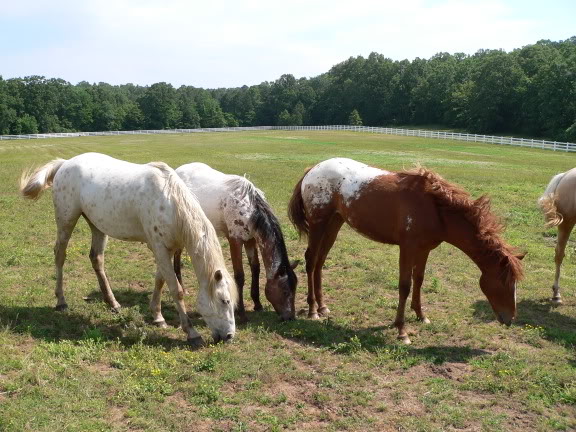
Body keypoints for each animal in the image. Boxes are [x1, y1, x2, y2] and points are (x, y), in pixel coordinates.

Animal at [20, 153, 236, 348]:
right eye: (224, 301)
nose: (229, 336)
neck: (170, 201)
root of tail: (65, 163)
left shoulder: (165, 249)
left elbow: (160, 280)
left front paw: (158, 316)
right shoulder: (160, 248)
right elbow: (176, 290)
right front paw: (192, 333)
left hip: (97, 226)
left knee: (96, 259)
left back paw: (113, 303)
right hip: (66, 221)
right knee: (60, 255)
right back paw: (61, 301)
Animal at [173, 162, 300, 320]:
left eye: (295, 288)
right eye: (285, 291)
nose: (290, 317)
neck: (249, 209)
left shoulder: (251, 240)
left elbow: (255, 268)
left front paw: (257, 304)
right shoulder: (235, 241)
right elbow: (239, 275)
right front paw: (241, 312)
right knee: (176, 256)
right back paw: (182, 288)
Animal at [290, 159, 524, 344]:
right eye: (504, 282)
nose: (510, 319)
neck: (435, 209)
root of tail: (312, 169)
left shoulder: (424, 250)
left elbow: (418, 280)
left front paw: (421, 315)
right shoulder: (408, 248)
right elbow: (405, 285)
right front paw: (402, 331)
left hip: (334, 224)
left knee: (320, 262)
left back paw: (323, 307)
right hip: (318, 224)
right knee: (310, 261)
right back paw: (312, 310)